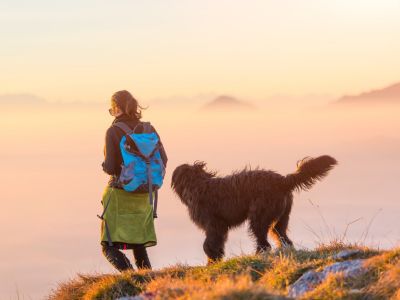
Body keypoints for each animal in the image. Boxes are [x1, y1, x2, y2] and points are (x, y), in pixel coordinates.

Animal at [172, 156, 338, 262]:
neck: (197, 184)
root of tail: (283, 181)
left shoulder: (214, 224)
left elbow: (209, 243)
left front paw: (212, 258)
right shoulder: (220, 226)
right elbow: (217, 242)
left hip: (259, 216)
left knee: (264, 243)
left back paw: (257, 255)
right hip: (281, 217)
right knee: (281, 236)